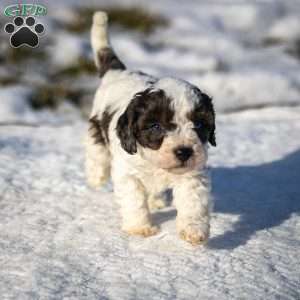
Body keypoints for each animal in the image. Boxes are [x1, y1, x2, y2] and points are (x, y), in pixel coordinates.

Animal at [85, 11, 217, 246]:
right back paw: (96, 178)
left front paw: (194, 231)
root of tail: (117, 72)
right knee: (96, 156)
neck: (156, 165)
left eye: (199, 124)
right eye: (155, 126)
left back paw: (156, 201)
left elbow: (193, 202)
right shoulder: (128, 174)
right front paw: (140, 229)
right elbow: (134, 201)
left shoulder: (192, 174)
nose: (184, 152)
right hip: (96, 130)